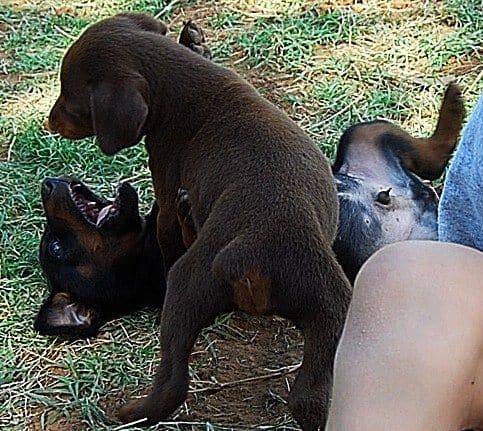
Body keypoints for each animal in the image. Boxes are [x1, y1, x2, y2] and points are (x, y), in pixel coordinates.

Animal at [45, 11, 352, 430]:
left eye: (70, 98)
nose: (48, 123)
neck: (184, 80)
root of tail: (256, 256)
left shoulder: (164, 190)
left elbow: (167, 233)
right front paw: (192, 40)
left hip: (188, 286)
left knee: (173, 381)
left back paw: (130, 412)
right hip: (332, 313)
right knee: (309, 398)